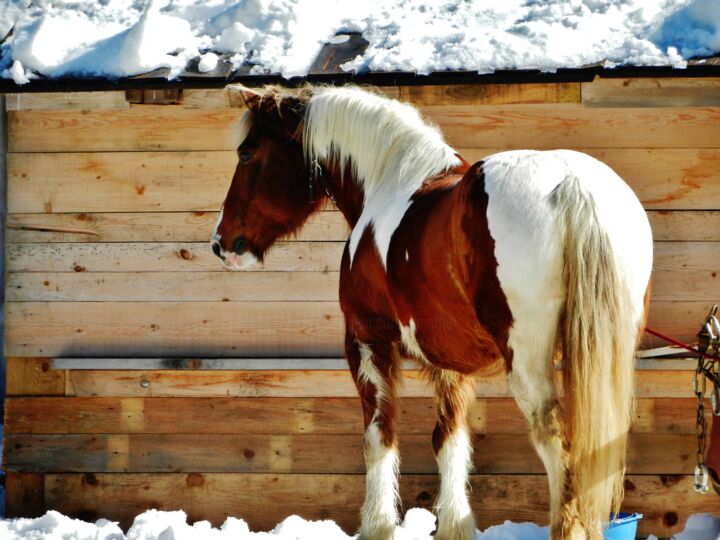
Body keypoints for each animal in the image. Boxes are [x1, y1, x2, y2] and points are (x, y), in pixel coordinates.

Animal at [211, 84, 656, 540]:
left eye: (246, 154)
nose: (222, 243)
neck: (391, 181)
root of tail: (571, 182)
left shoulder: (367, 343)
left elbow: (379, 437)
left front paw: (378, 525)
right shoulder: (450, 364)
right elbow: (450, 441)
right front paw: (454, 525)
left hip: (529, 362)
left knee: (553, 439)